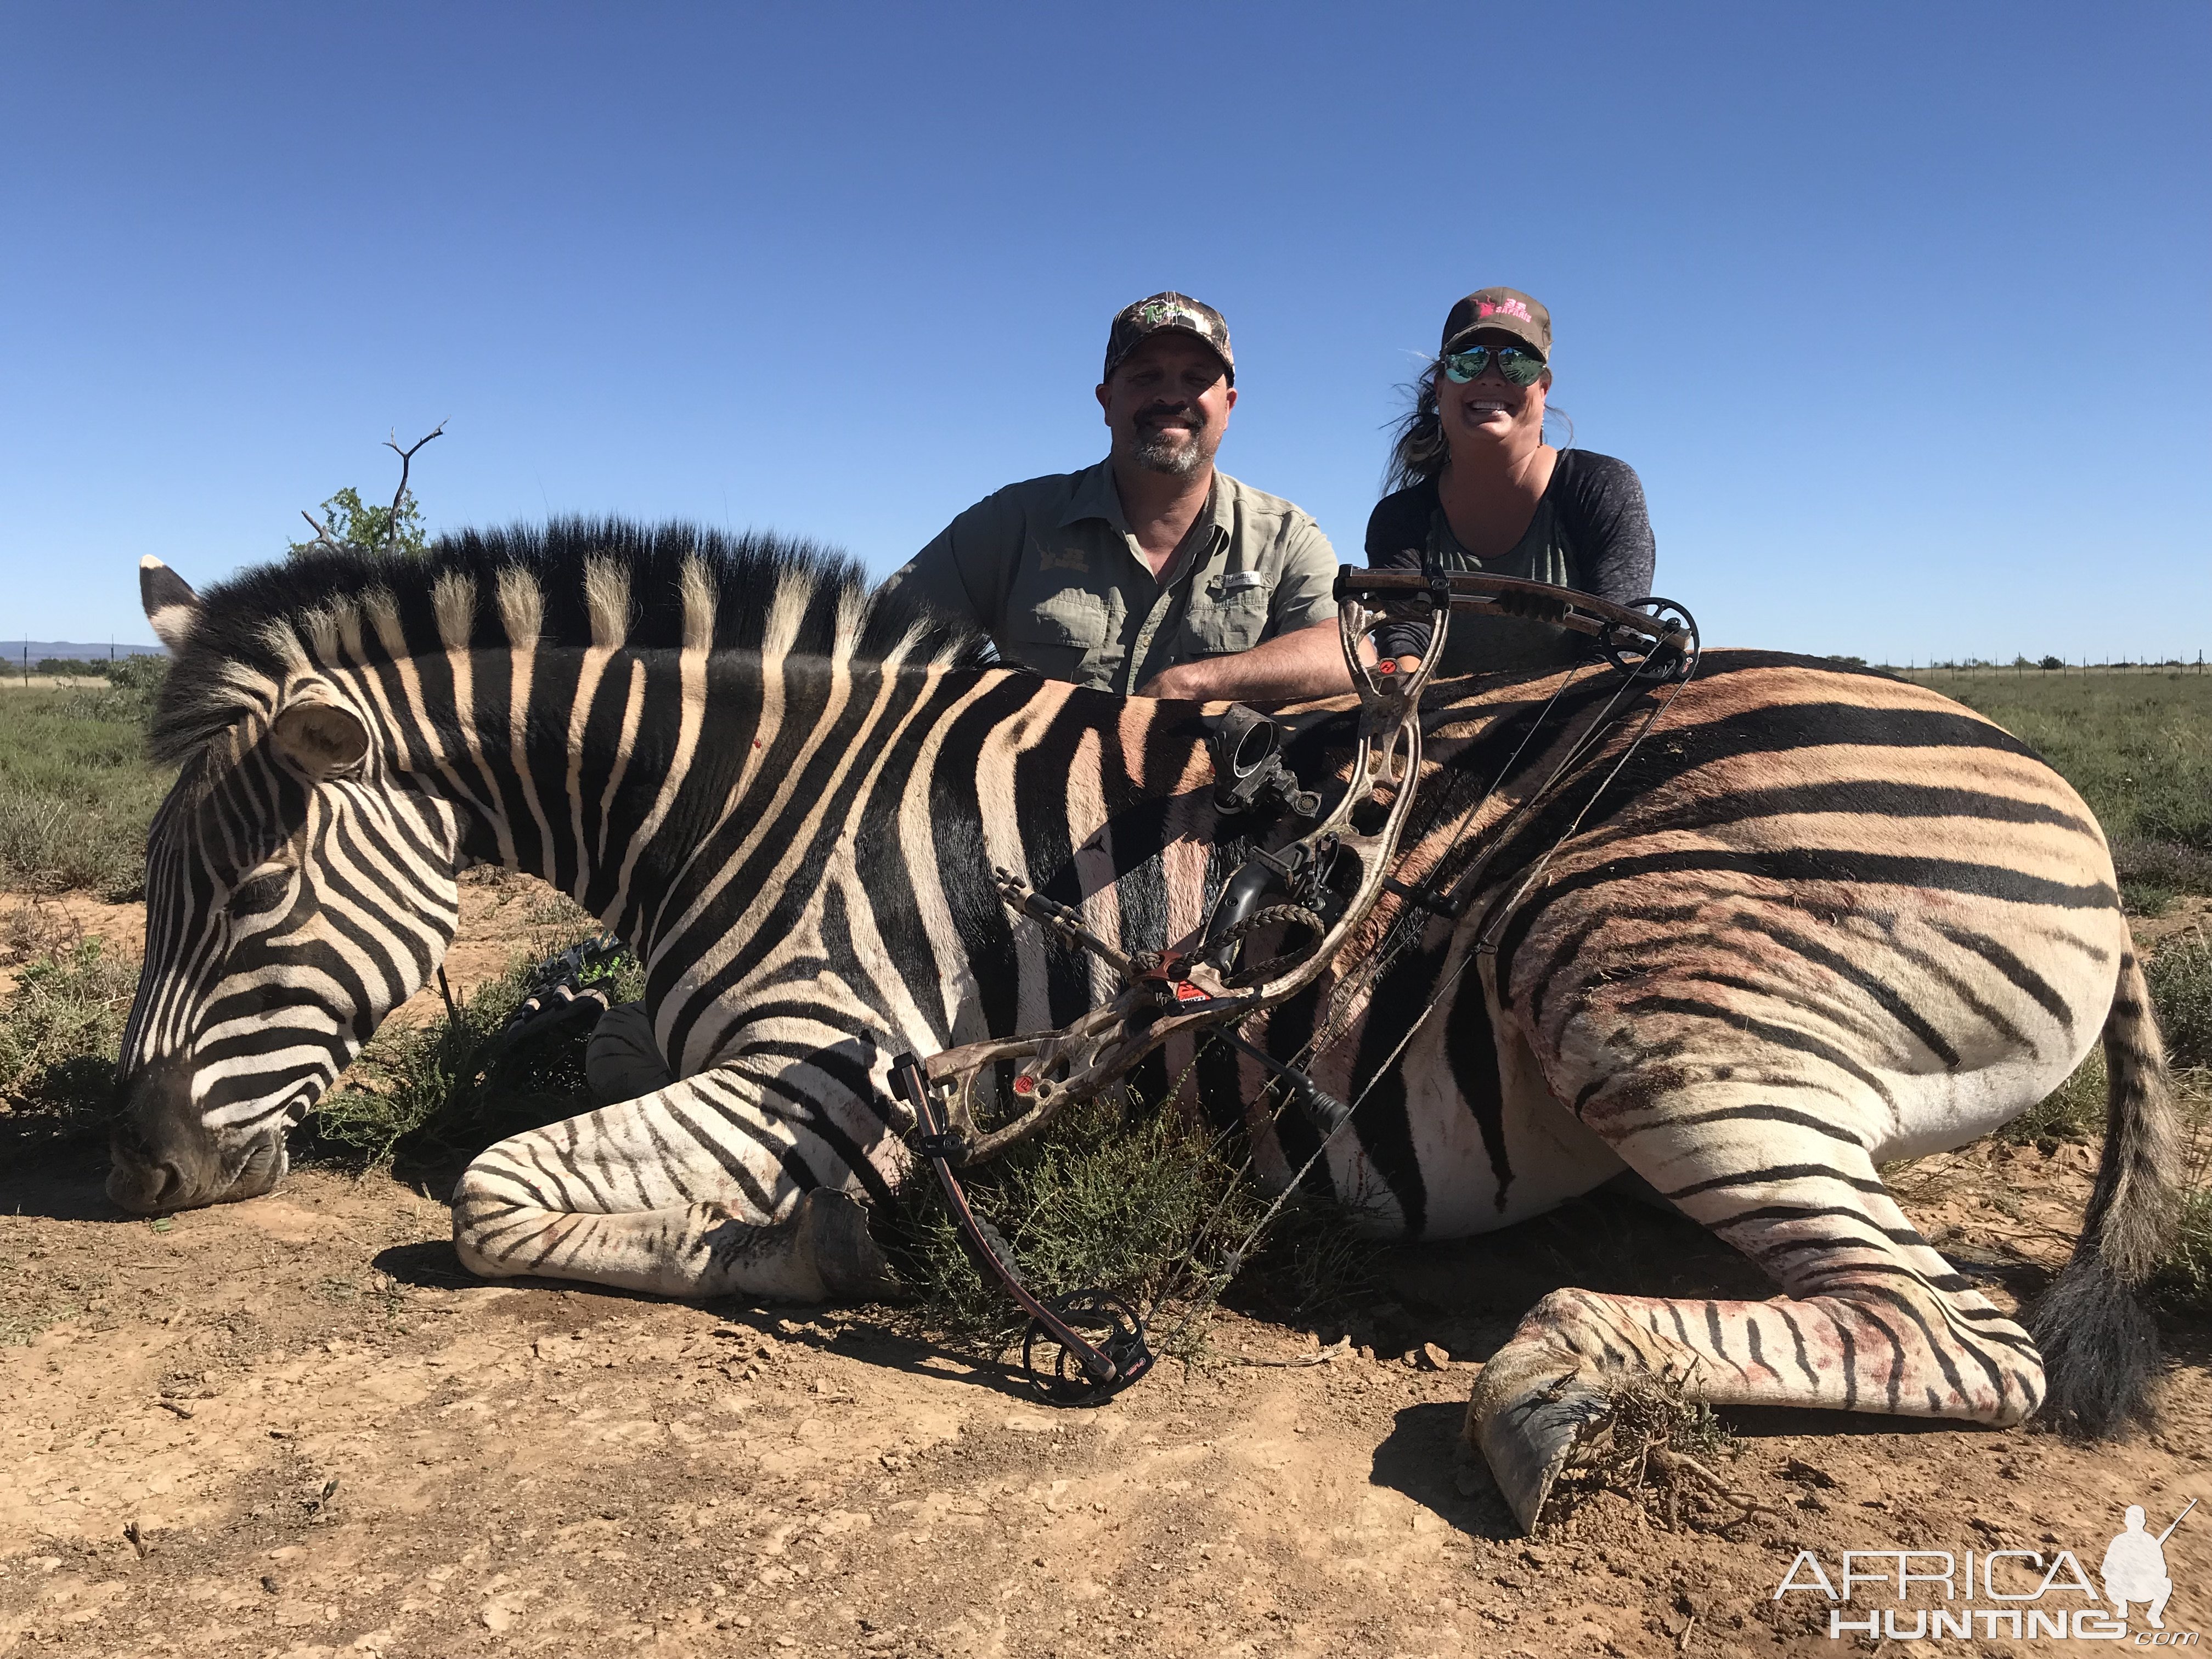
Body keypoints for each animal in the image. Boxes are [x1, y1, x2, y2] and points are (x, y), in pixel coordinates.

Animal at [116, 517, 2176, 1531]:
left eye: (254, 896)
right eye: (154, 885)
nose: (142, 1166)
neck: (771, 797)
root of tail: (2062, 802)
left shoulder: (821, 1063)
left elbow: (489, 1194)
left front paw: (804, 1242)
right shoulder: (722, 1044)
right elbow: (564, 1082)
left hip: (1624, 976)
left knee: (1960, 1334)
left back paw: (1557, 1386)